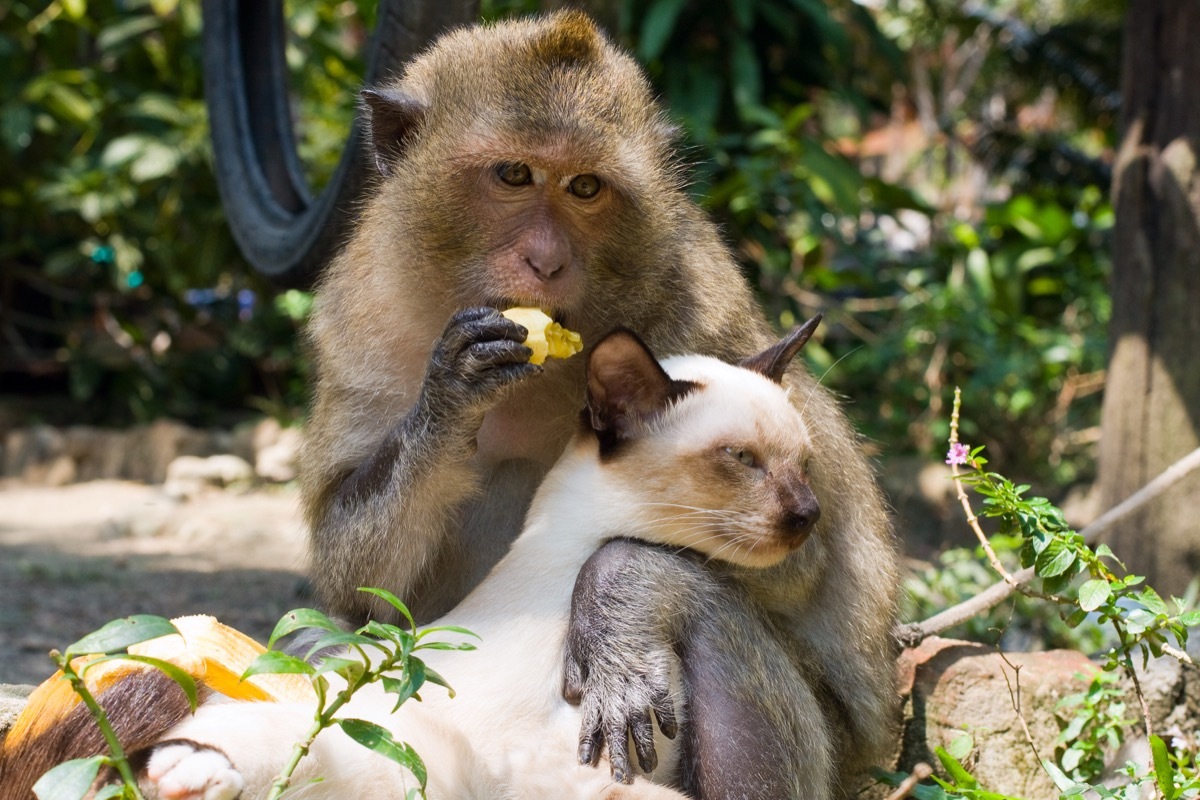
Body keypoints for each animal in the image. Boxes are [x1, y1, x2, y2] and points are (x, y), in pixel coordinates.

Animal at [302, 12, 902, 800]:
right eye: (514, 175)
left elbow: (799, 568)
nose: (547, 260)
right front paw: (451, 391)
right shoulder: (363, 313)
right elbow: (358, 582)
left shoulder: (699, 313)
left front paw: (619, 598)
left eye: (585, 187)